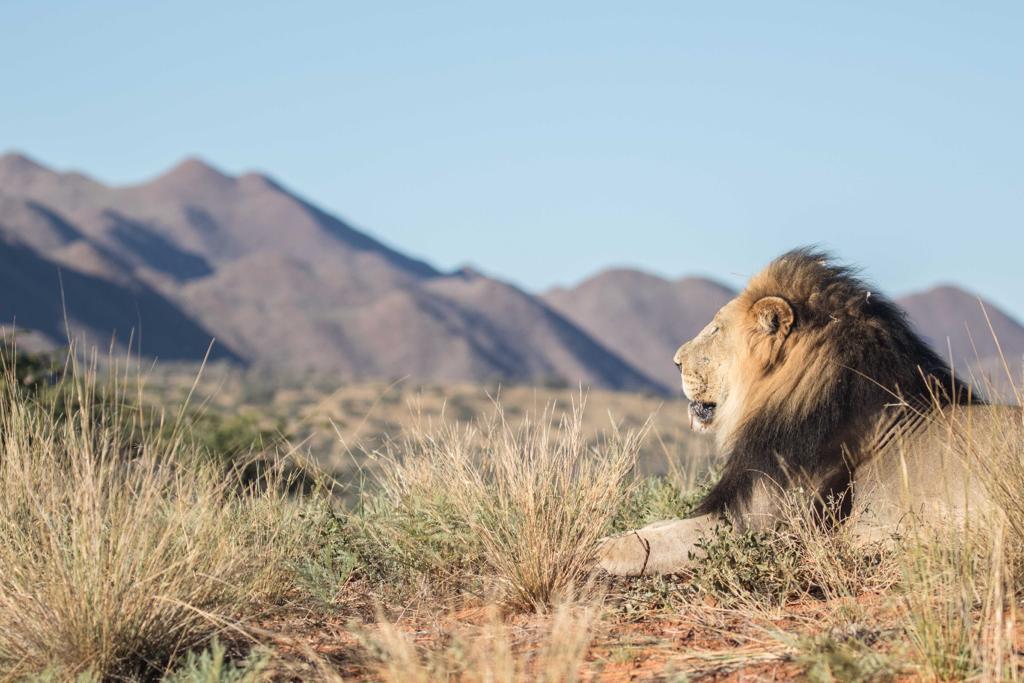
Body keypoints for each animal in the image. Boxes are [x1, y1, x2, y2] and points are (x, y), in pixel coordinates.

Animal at [598, 248, 1019, 573]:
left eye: (716, 329)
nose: (675, 361)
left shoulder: (762, 527)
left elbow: (652, 542)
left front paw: (599, 549)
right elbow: (659, 525)